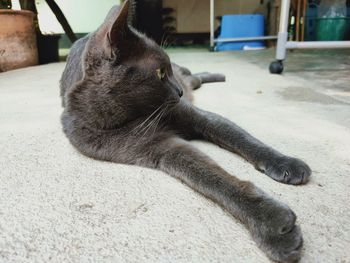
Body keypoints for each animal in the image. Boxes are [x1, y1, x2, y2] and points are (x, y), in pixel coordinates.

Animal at [60, 1, 312, 262]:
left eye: (167, 70)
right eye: (160, 73)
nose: (179, 91)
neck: (135, 117)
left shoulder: (199, 118)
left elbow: (242, 138)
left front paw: (286, 163)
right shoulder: (160, 149)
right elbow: (212, 179)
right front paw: (273, 224)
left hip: (190, 83)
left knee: (194, 76)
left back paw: (216, 75)